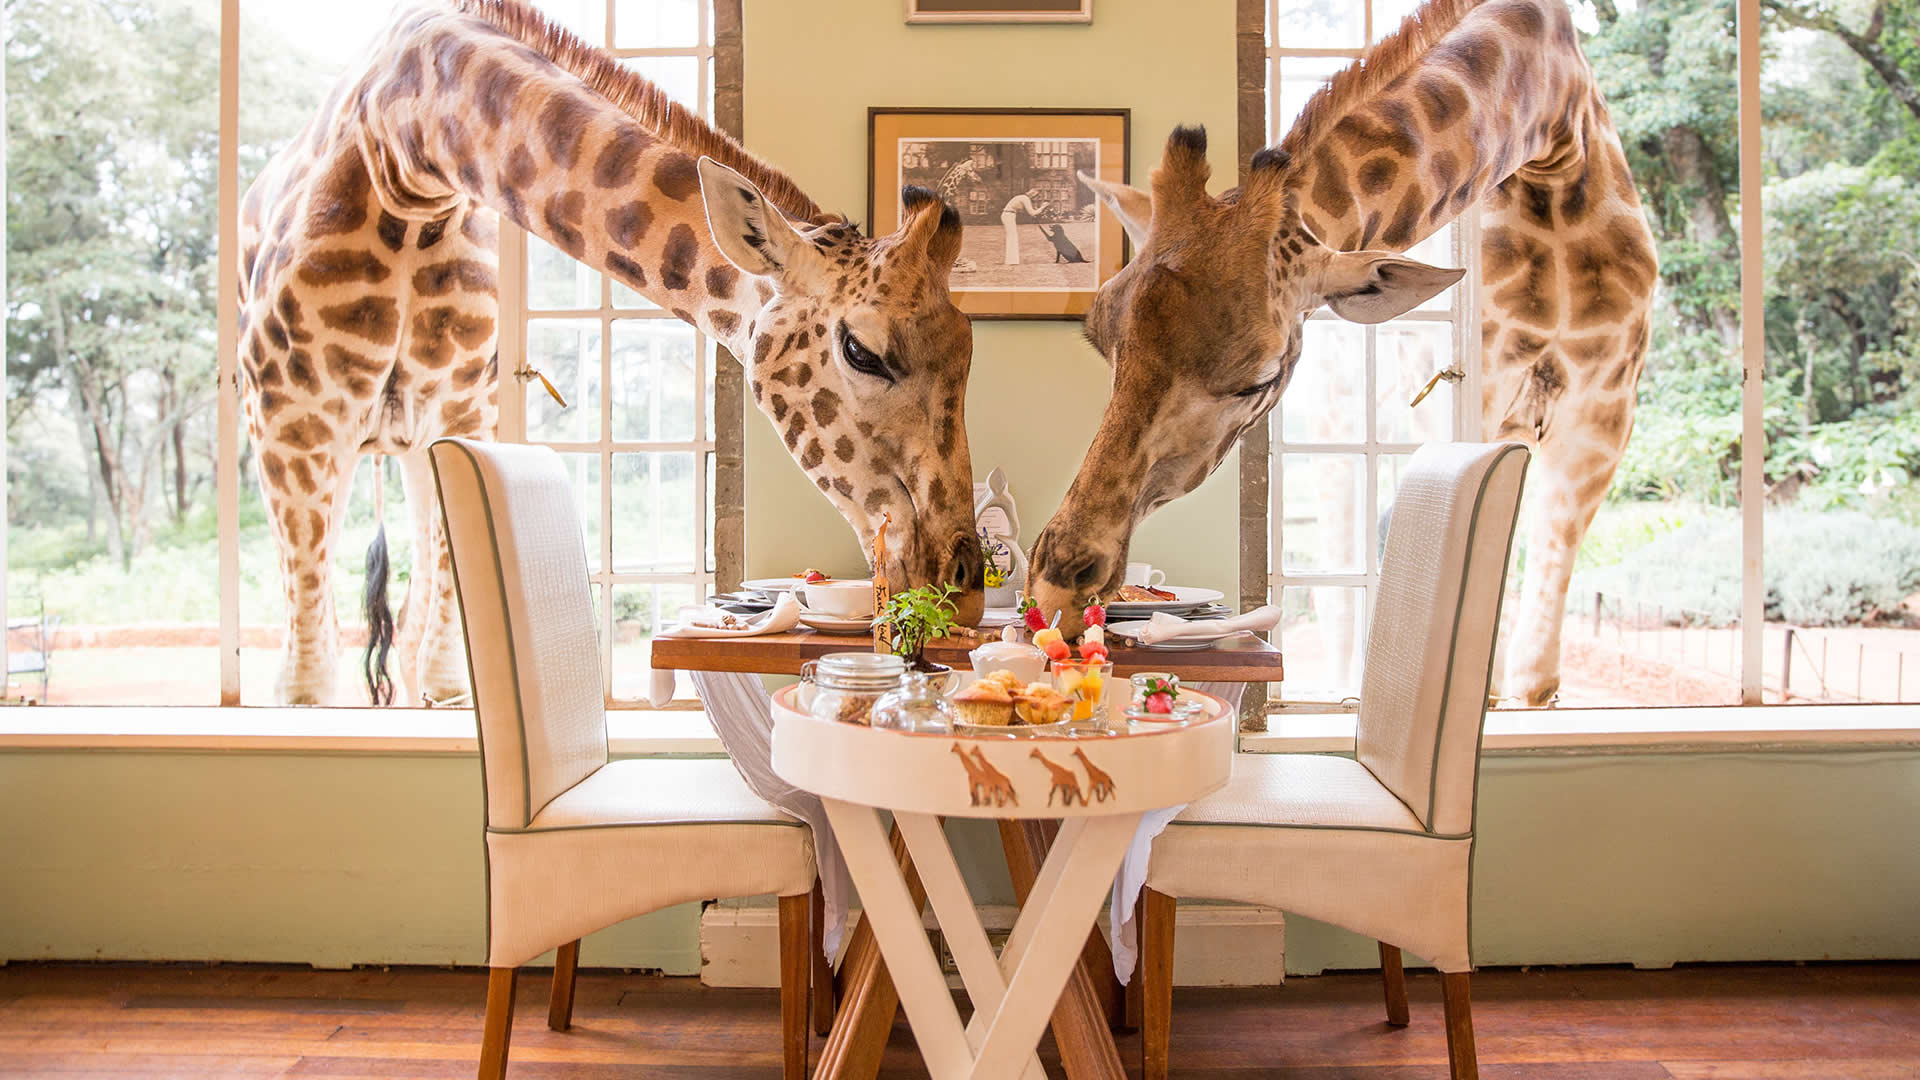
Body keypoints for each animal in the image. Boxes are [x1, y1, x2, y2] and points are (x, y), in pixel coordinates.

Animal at [239, 0, 984, 705]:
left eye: (969, 355)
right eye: (862, 350)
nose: (966, 587)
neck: (408, 152)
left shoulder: (459, 417)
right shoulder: (292, 426)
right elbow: (307, 687)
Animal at [1028, 0, 1657, 706]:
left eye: (1258, 378)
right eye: (1102, 341)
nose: (1055, 589)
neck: (1550, 134)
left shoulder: (1601, 410)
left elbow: (1535, 667)